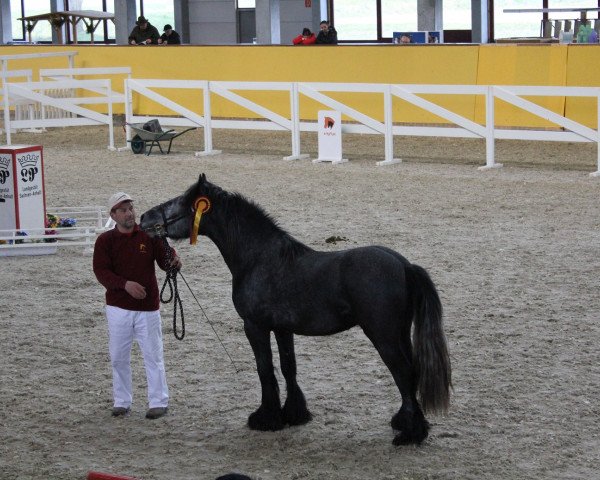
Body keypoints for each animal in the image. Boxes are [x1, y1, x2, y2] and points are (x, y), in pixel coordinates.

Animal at [141, 174, 450, 444]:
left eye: (181, 202)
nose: (145, 218)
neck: (258, 258)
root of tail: (404, 265)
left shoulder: (255, 326)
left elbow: (265, 369)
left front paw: (266, 418)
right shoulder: (282, 328)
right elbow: (288, 367)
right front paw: (294, 414)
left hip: (383, 336)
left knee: (404, 373)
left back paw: (410, 435)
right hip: (400, 333)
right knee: (411, 374)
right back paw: (406, 423)